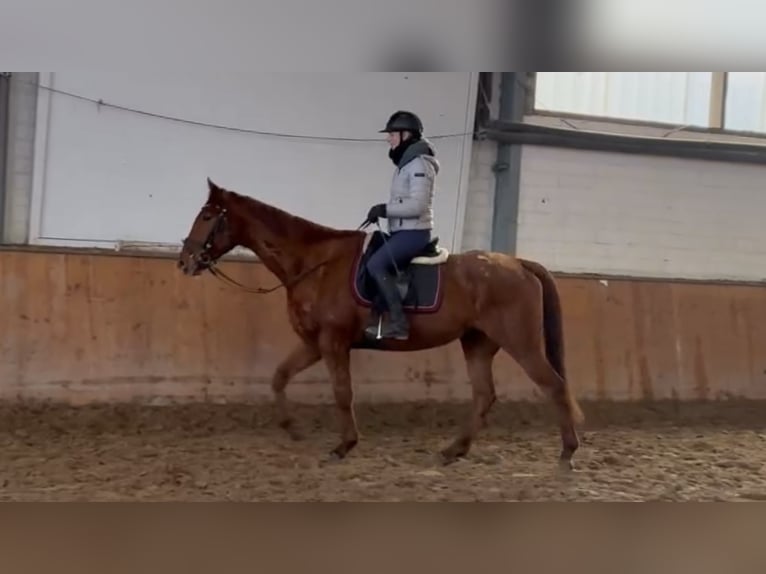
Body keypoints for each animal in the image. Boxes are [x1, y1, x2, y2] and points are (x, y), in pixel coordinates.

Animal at [178, 180, 588, 472]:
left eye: (207, 216)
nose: (185, 260)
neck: (317, 264)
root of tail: (519, 264)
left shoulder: (333, 342)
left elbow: (343, 393)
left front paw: (344, 445)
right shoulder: (312, 343)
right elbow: (279, 377)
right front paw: (292, 428)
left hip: (521, 342)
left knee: (554, 386)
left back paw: (567, 454)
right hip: (477, 343)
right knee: (485, 395)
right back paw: (452, 451)